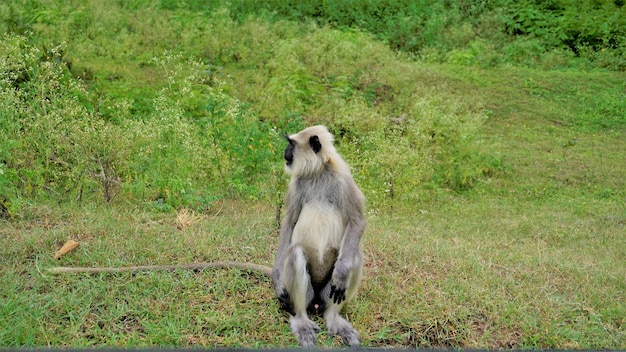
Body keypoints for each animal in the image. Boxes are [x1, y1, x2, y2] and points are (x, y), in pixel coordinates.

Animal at [270, 125, 366, 348]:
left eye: (291, 144)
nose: (285, 152)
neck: (317, 171)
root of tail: (315, 303)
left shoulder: (343, 178)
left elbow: (357, 221)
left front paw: (342, 272)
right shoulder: (295, 184)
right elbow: (288, 223)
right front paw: (277, 279)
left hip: (325, 293)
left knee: (354, 256)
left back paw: (333, 319)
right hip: (308, 294)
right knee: (295, 253)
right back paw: (302, 321)